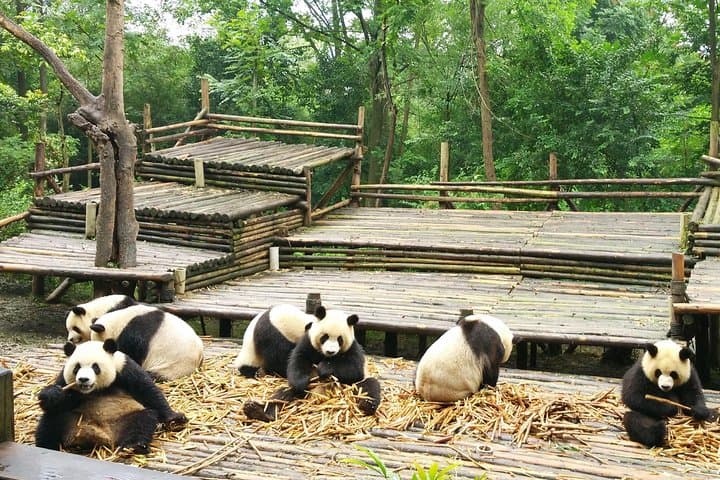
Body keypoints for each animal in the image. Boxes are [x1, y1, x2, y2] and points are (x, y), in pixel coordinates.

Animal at [35, 339, 187, 453]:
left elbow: (148, 391)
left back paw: (134, 446)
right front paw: (50, 394)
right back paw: (46, 445)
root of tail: (100, 435)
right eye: (76, 367)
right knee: (51, 420)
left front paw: (175, 418)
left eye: (95, 367)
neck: (96, 389)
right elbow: (61, 400)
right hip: (73, 419)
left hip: (124, 418)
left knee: (142, 420)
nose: (83, 379)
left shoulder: (124, 368)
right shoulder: (66, 379)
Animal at [243, 305, 381, 421]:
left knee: (368, 387)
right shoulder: (274, 334)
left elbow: (354, 369)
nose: (330, 351)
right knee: (282, 394)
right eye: (324, 337)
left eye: (340, 339)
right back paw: (258, 411)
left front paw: (324, 368)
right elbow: (292, 361)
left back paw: (366, 405)